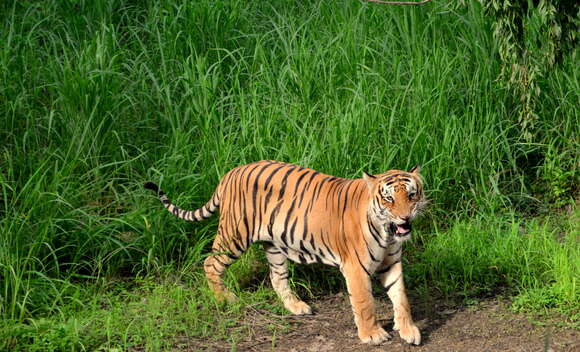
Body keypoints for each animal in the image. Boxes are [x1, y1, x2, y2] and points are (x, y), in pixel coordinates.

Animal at [145, 161, 426, 346]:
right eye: (389, 199)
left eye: (412, 195)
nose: (405, 217)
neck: (388, 233)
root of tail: (230, 172)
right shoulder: (355, 267)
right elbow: (364, 302)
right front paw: (373, 334)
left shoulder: (391, 262)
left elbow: (401, 298)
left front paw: (408, 330)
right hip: (234, 235)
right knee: (210, 263)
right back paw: (225, 298)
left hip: (274, 247)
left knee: (276, 278)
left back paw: (297, 307)